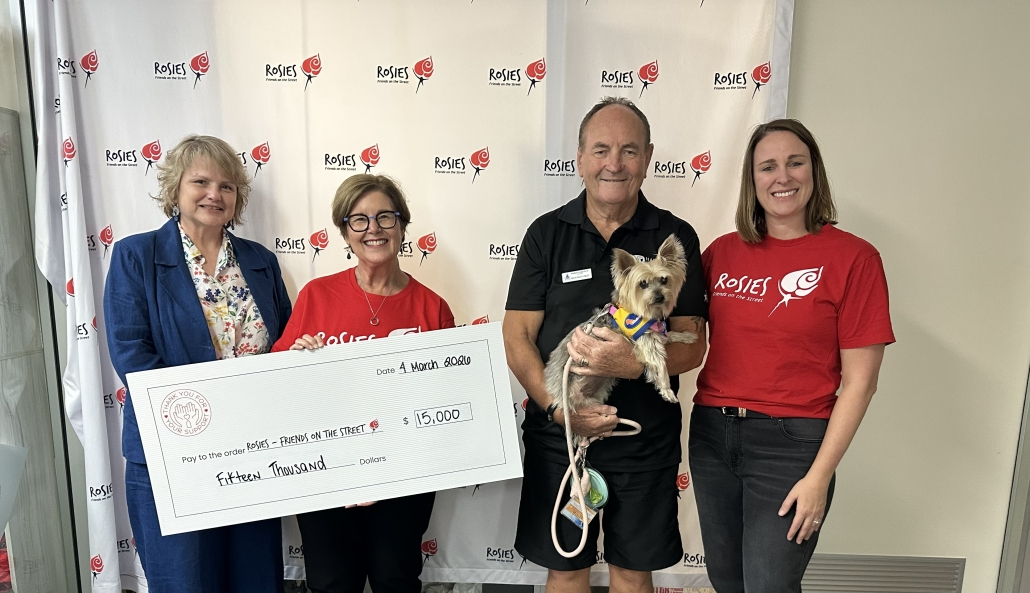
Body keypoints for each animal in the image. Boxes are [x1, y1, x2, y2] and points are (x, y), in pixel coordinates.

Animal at [544, 234, 697, 419]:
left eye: (664, 280)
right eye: (642, 284)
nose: (660, 297)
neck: (644, 313)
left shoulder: (655, 333)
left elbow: (670, 335)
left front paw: (687, 336)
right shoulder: (647, 343)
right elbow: (660, 365)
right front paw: (667, 391)